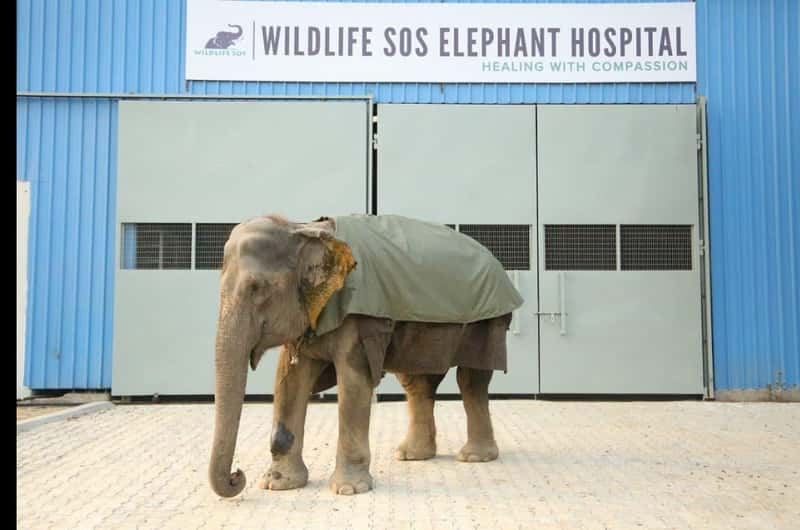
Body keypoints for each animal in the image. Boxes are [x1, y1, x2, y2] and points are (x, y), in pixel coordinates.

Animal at [209, 214, 522, 498]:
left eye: (256, 288)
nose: (238, 475)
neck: (302, 228)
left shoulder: (359, 321)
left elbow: (353, 382)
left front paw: (348, 490)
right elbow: (288, 380)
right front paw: (278, 485)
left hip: (488, 322)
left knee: (471, 380)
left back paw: (474, 457)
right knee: (417, 383)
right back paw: (411, 455)